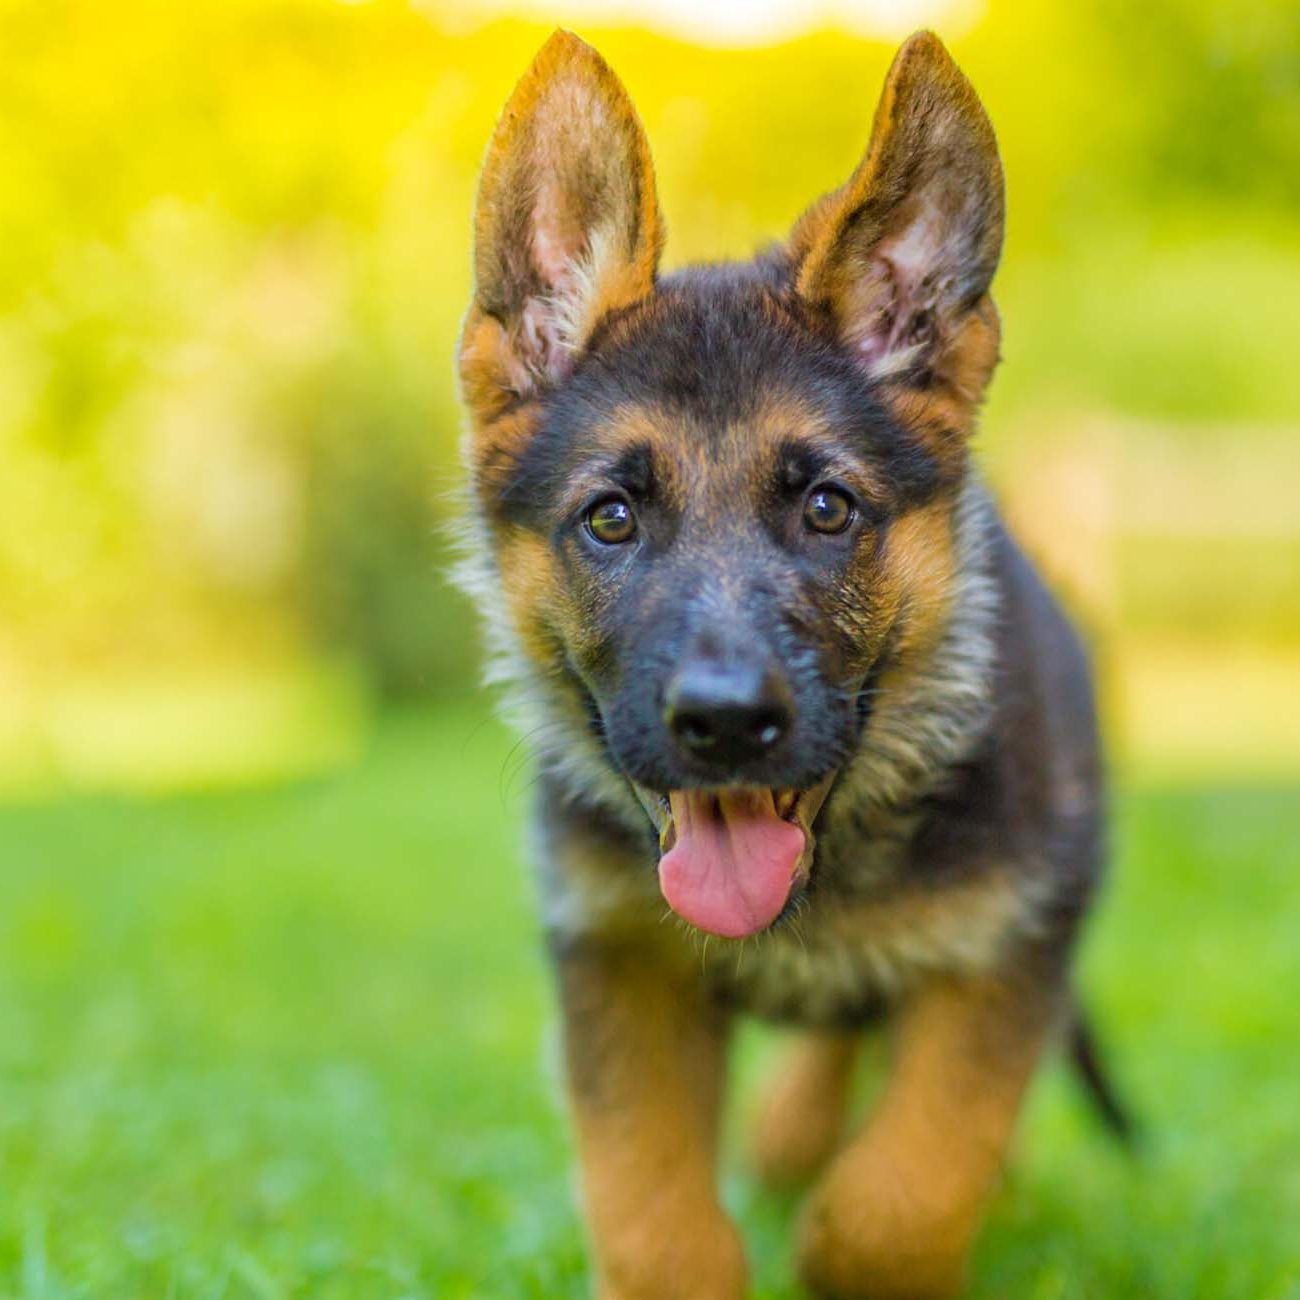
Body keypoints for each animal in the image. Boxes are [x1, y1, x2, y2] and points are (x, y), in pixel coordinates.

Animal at [454, 30, 1118, 1300]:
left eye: (825, 509)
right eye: (610, 520)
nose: (722, 723)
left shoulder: (1004, 947)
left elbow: (906, 1191)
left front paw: (845, 1244)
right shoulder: (617, 962)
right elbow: (653, 1223)